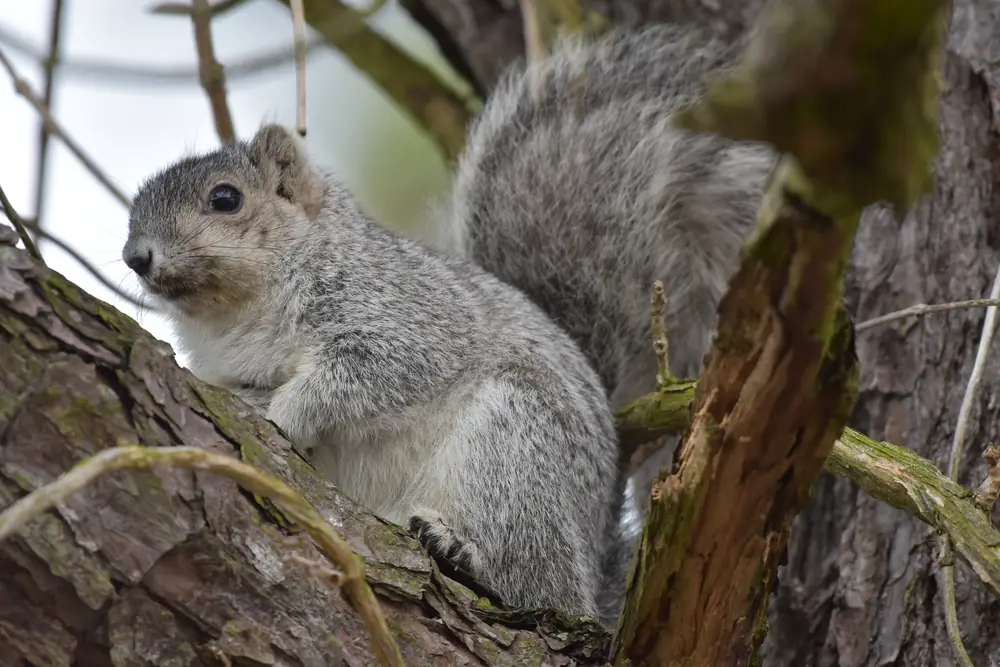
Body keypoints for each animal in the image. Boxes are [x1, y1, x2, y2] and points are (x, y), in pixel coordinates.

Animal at [122, 23, 775, 628]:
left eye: (225, 198)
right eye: (133, 213)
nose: (136, 257)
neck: (237, 314)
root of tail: (595, 569)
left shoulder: (402, 318)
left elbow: (365, 378)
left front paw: (281, 413)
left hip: (513, 446)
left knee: (540, 584)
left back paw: (462, 550)